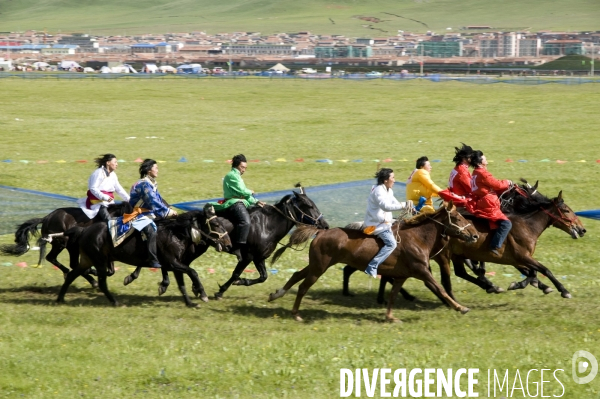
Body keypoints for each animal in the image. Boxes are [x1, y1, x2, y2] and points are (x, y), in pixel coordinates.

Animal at [0, 203, 132, 288]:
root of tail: (46, 217)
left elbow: (111, 271)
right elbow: (107, 270)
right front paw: (93, 272)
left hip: (61, 245)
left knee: (52, 258)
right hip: (65, 245)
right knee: (71, 263)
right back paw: (90, 279)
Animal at [56, 208, 230, 308]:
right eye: (215, 225)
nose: (228, 243)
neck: (176, 233)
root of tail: (84, 230)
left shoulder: (176, 265)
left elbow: (182, 285)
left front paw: (190, 303)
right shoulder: (174, 263)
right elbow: (193, 272)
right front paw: (202, 294)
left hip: (88, 260)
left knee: (72, 274)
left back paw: (60, 298)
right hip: (99, 261)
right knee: (101, 282)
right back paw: (114, 301)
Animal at [268, 205, 478, 324]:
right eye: (458, 218)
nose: (475, 235)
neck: (418, 238)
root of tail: (320, 232)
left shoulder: (401, 276)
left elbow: (392, 296)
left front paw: (390, 317)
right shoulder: (422, 271)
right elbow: (440, 288)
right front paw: (460, 307)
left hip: (316, 265)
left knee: (296, 275)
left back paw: (276, 294)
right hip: (319, 267)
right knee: (303, 286)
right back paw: (296, 314)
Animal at [342, 183, 584, 304]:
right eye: (566, 210)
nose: (582, 229)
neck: (525, 225)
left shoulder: (519, 259)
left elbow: (533, 273)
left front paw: (525, 284)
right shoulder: (521, 256)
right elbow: (544, 270)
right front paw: (562, 290)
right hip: (444, 255)